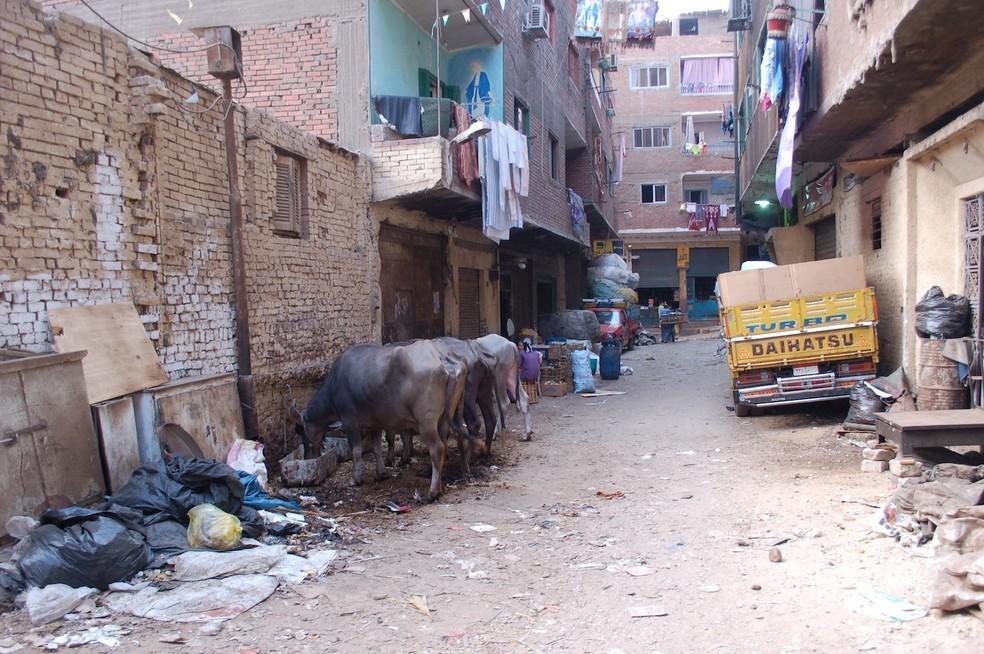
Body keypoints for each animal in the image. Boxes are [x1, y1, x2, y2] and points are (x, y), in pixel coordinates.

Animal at [300, 340, 468, 500]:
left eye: (303, 435)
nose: (308, 457)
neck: (334, 385)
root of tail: (441, 358)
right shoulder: (375, 423)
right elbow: (377, 448)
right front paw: (381, 473)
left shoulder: (350, 422)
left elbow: (356, 450)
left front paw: (356, 479)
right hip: (444, 419)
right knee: (444, 444)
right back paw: (441, 486)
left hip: (427, 422)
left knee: (436, 448)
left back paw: (433, 492)